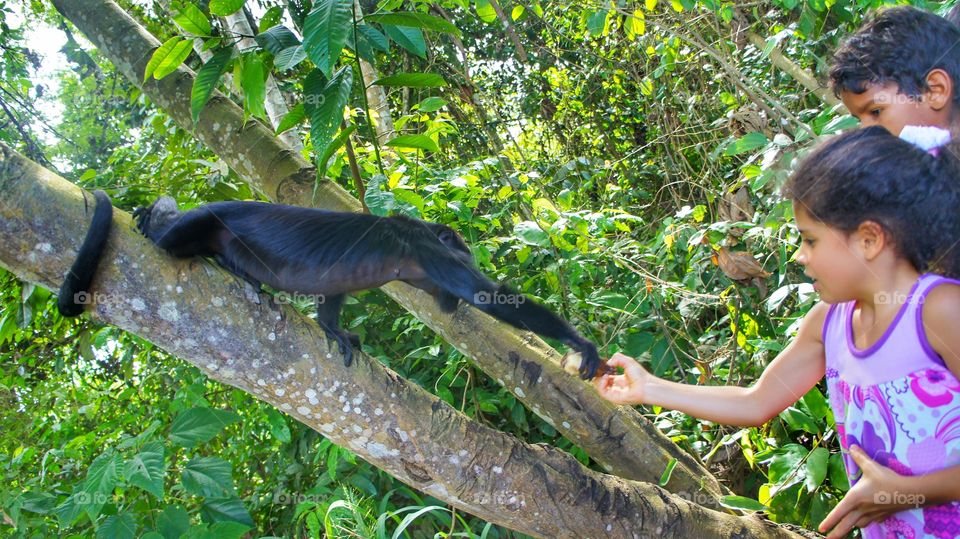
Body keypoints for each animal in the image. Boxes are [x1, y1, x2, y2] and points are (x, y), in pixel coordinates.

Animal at [58, 193, 603, 378]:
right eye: (463, 251)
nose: (468, 254)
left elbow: (333, 294)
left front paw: (333, 328)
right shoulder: (428, 252)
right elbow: (491, 297)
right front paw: (580, 343)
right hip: (206, 219)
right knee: (172, 239)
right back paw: (155, 219)